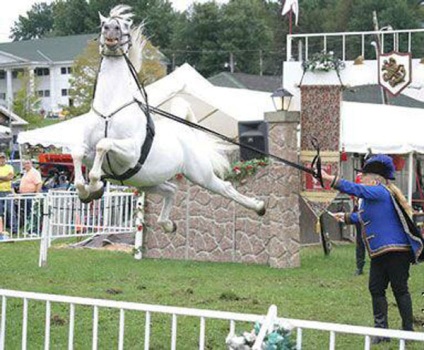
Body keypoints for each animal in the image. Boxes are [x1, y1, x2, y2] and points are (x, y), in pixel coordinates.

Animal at [72, 5, 264, 231]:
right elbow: (77, 154)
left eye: (125, 25)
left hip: (199, 174)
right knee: (171, 189)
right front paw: (87, 191)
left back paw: (259, 206)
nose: (111, 30)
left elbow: (103, 144)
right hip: (146, 181)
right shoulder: (88, 152)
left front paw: (94, 184)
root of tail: (184, 131)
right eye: (103, 24)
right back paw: (168, 224)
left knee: (225, 187)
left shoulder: (130, 152)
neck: (109, 111)